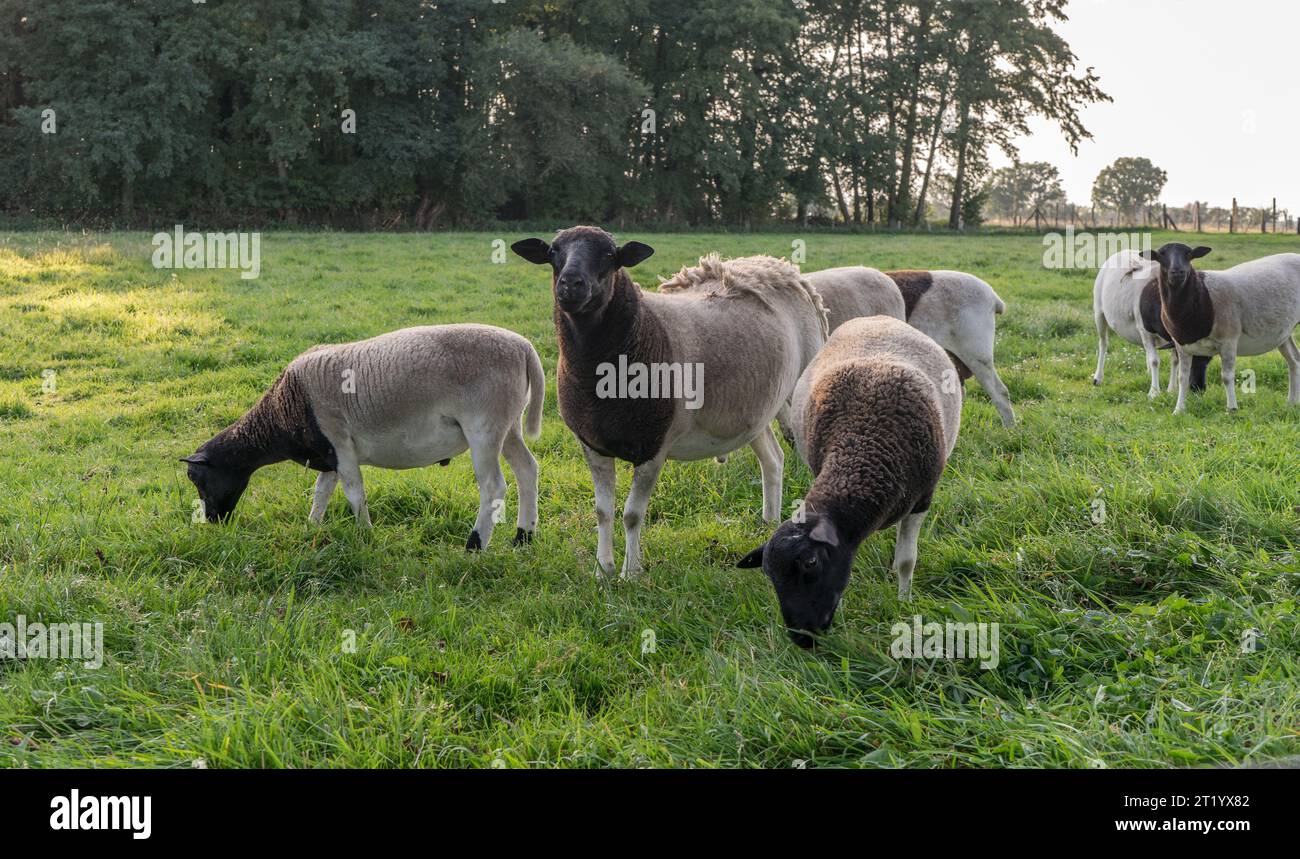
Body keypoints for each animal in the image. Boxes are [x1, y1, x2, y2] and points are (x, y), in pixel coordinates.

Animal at [181, 324, 544, 549]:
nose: (213, 521)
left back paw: (475, 545)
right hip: (508, 426)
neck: (281, 410)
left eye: (196, 477)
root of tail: (525, 349)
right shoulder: (328, 452)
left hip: (484, 426)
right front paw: (313, 526)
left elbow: (355, 493)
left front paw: (366, 535)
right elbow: (321, 491)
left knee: (494, 486)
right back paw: (523, 536)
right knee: (528, 470)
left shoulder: (339, 441)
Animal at [512, 225, 827, 579]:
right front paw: (602, 570)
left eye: (609, 254)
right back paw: (768, 522)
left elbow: (631, 515)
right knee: (773, 459)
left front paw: (630, 573)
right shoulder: (592, 445)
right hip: (752, 410)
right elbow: (603, 511)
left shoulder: (653, 447)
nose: (570, 283)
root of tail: (779, 267)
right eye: (553, 253)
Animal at [736, 315, 962, 648]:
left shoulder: (922, 499)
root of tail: (875, 318)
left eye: (811, 563)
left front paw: (904, 603)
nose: (802, 639)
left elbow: (907, 560)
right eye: (769, 576)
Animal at [1091, 249, 1211, 397]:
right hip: (1099, 312)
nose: (1199, 388)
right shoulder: (1145, 331)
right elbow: (1155, 361)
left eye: (1208, 359)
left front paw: (1171, 389)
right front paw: (1154, 392)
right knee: (1103, 343)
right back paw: (1098, 378)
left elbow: (1174, 359)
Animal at [1141, 243, 1300, 414]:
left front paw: (1232, 409)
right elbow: (1182, 378)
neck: (1202, 296)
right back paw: (1291, 403)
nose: (1178, 272)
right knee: (1294, 360)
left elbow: (1227, 377)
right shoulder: (1182, 346)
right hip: (1283, 332)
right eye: (1161, 255)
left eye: (1189, 254)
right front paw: (1178, 410)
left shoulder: (1228, 340)